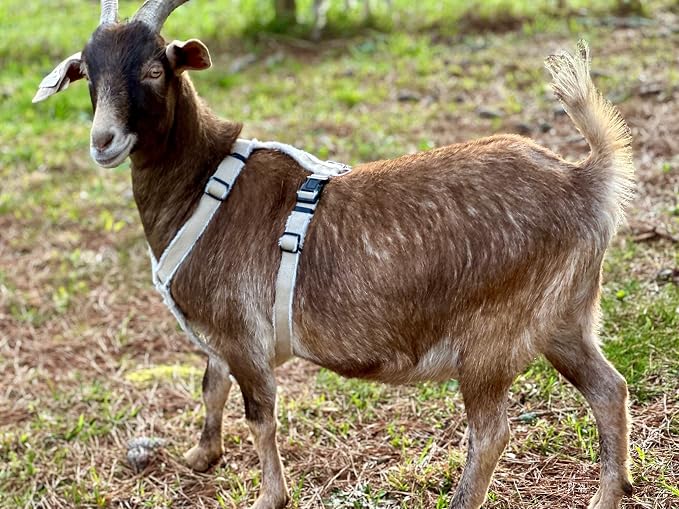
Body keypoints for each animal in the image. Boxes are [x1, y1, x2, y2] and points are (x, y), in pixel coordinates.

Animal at [33, 1, 635, 508]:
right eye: (89, 73)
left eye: (155, 69)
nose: (104, 141)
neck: (204, 184)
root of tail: (583, 181)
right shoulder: (220, 332)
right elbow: (211, 384)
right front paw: (201, 456)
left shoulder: (242, 335)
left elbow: (260, 415)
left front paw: (268, 497)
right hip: (565, 317)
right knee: (609, 389)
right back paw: (608, 495)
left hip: (490, 337)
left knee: (491, 433)